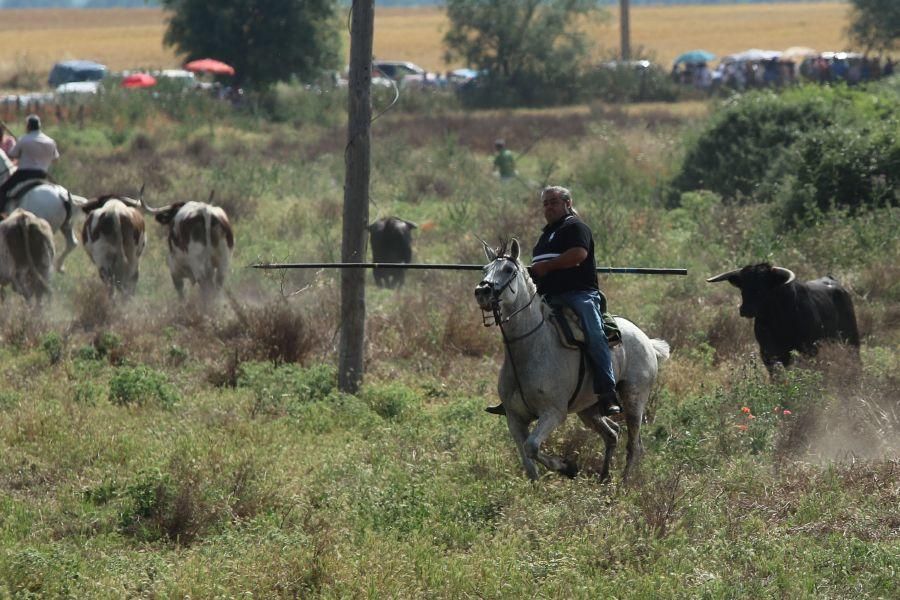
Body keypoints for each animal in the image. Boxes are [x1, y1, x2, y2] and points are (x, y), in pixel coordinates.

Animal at [474, 239, 672, 482]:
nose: (482, 291)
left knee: (634, 445)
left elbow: (532, 446)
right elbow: (528, 462)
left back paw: (623, 485)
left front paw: (567, 467)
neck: (530, 349)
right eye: (484, 270)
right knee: (612, 434)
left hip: (634, 400)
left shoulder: (553, 413)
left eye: (509, 270)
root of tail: (647, 341)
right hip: (589, 409)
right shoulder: (514, 418)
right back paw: (604, 478)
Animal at [712, 262, 856, 370]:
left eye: (763, 285)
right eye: (743, 287)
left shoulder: (808, 349)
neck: (777, 320)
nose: (745, 309)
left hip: (851, 338)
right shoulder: (768, 353)